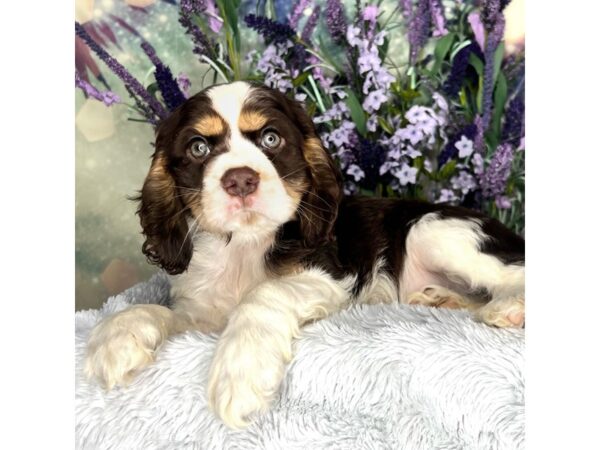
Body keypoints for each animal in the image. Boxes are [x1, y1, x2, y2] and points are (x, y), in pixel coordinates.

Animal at [84, 81, 524, 428]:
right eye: (197, 148)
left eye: (271, 139)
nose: (240, 179)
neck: (243, 246)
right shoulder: (202, 313)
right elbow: (154, 311)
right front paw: (115, 340)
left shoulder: (330, 279)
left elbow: (265, 293)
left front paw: (241, 370)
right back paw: (441, 299)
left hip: (433, 231)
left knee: (515, 274)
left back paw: (508, 309)